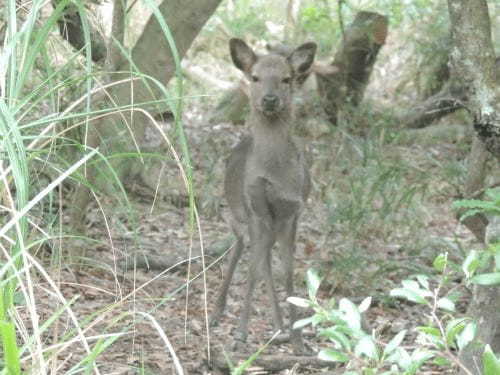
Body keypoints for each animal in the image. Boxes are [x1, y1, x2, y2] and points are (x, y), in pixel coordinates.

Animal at [211, 39, 316, 354]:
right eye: (255, 77)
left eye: (287, 78)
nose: (269, 99)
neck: (274, 173)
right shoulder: (256, 208)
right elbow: (253, 271)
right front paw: (240, 335)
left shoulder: (291, 211)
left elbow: (287, 271)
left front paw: (298, 339)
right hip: (238, 210)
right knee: (241, 245)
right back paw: (217, 312)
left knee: (265, 258)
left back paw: (280, 326)